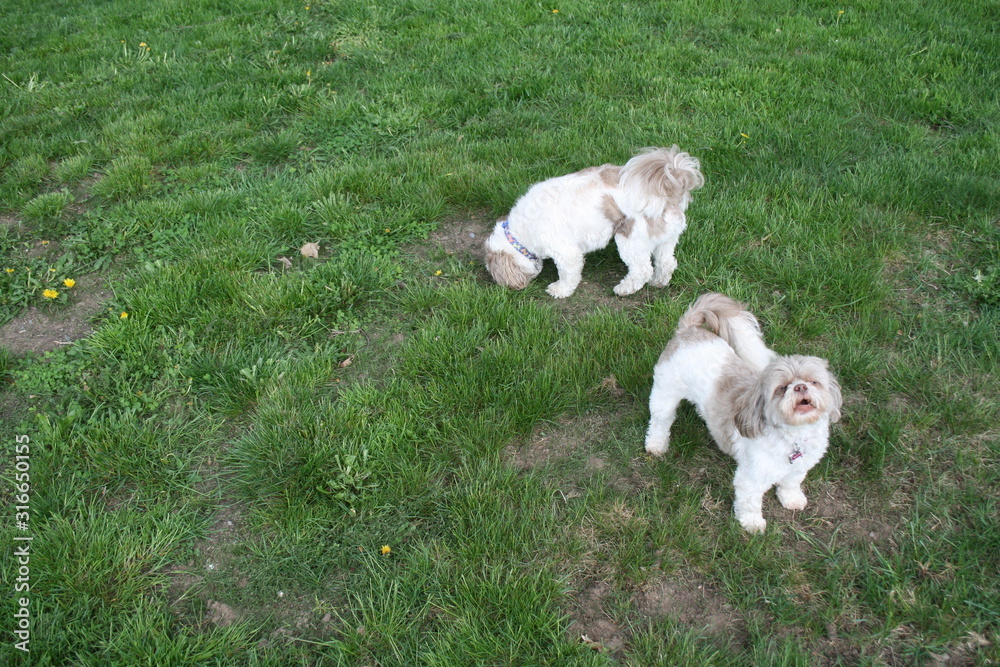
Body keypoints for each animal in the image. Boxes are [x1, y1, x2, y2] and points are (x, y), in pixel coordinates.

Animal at [484, 150, 704, 302]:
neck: (520, 232)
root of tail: (668, 189)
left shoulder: (566, 252)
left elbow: (568, 274)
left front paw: (559, 290)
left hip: (631, 238)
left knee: (642, 269)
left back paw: (624, 289)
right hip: (666, 239)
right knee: (667, 262)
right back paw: (659, 282)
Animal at [644, 294, 840, 536]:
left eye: (814, 381)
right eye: (782, 388)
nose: (800, 387)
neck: (794, 436)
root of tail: (689, 329)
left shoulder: (799, 467)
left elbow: (791, 483)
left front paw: (792, 499)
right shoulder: (751, 477)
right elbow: (750, 502)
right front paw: (753, 523)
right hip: (666, 392)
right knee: (660, 421)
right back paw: (656, 444)